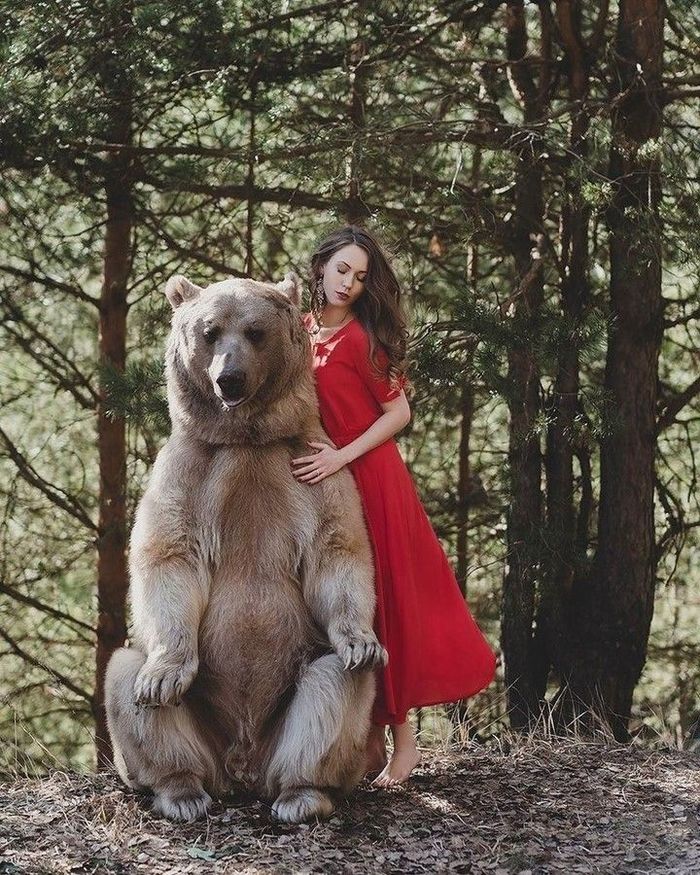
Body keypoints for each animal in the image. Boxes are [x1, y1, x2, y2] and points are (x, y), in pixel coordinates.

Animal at [105, 272, 387, 823]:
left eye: (255, 332)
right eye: (210, 331)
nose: (228, 379)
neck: (246, 438)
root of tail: (243, 767)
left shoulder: (311, 468)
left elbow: (337, 550)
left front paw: (362, 639)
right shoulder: (190, 468)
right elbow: (168, 556)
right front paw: (163, 678)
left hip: (294, 700)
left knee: (334, 684)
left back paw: (301, 795)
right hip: (201, 726)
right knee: (124, 675)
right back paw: (182, 792)